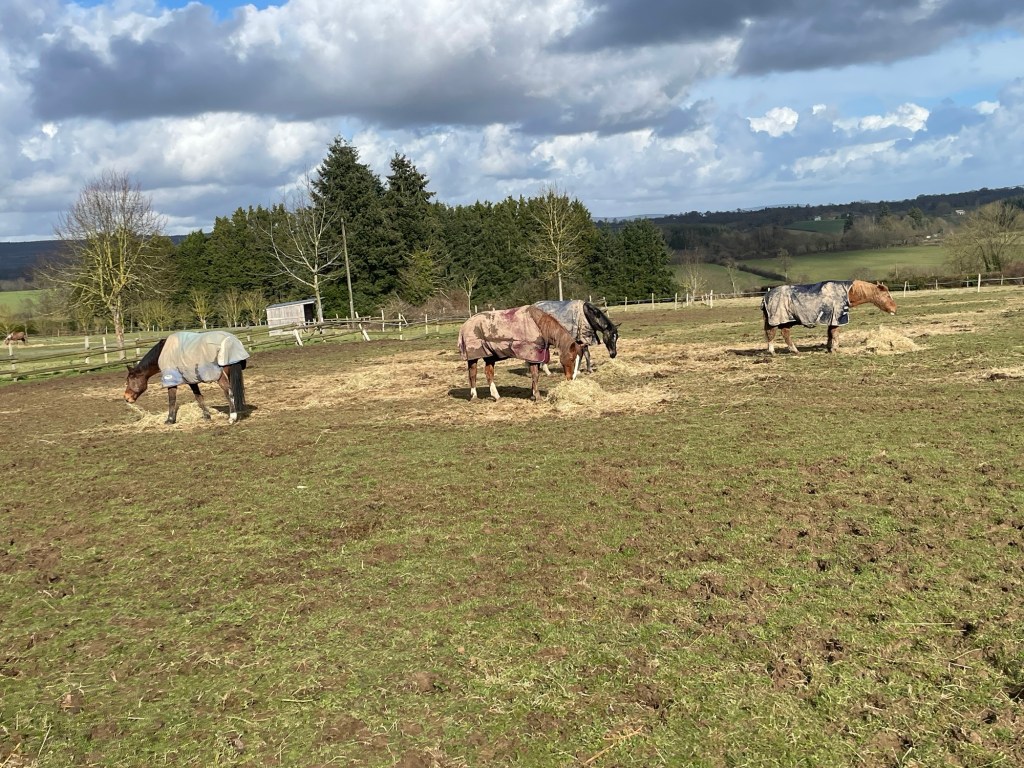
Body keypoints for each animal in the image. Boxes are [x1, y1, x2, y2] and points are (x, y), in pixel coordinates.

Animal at [762, 280, 897, 355]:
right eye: (887, 295)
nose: (895, 309)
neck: (848, 292)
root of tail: (767, 295)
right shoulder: (837, 317)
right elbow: (835, 333)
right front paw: (835, 348)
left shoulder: (831, 319)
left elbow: (830, 333)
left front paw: (829, 348)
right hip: (776, 319)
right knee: (772, 333)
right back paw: (772, 351)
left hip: (787, 320)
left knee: (785, 333)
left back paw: (793, 350)